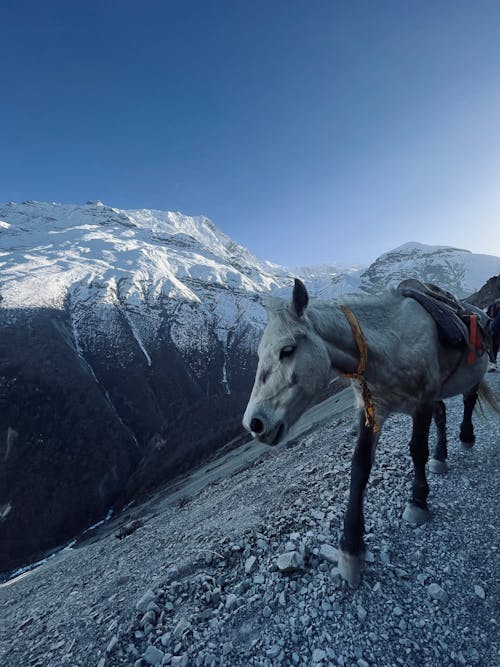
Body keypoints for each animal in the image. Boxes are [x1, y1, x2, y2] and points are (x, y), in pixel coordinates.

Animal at [243, 280, 496, 588]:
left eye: (287, 350)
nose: (255, 423)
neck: (389, 343)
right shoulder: (371, 411)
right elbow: (360, 468)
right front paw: (351, 549)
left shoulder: (420, 404)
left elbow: (417, 451)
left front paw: (417, 501)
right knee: (442, 415)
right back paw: (441, 456)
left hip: (470, 376)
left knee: (468, 401)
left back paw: (466, 437)